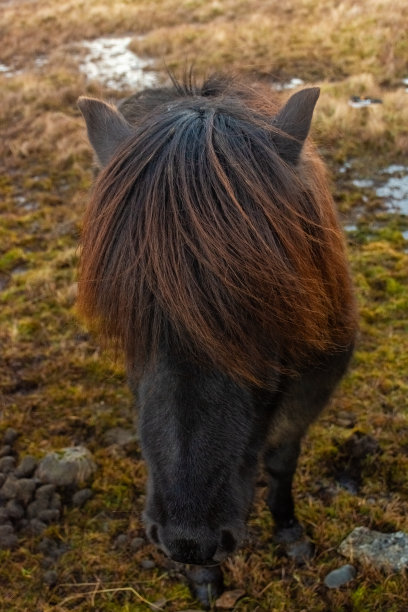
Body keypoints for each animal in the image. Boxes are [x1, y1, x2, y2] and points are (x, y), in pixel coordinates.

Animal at [77, 75, 356, 604]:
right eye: (128, 320)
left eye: (270, 304)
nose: (190, 543)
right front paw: (205, 580)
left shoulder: (311, 392)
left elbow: (282, 460)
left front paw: (289, 531)